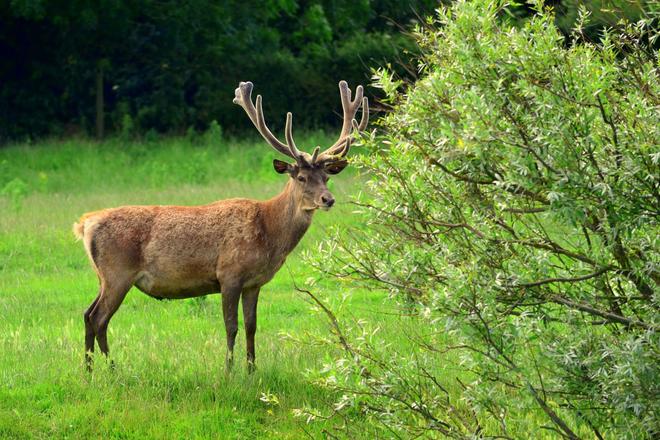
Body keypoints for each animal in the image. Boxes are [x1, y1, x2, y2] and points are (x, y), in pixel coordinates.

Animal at [73, 80, 368, 372]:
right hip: (118, 273)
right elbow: (231, 327)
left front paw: (251, 371)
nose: (328, 199)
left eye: (326, 177)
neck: (269, 232)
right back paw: (111, 369)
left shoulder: (254, 283)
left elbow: (251, 326)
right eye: (302, 177)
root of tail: (85, 224)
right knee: (99, 318)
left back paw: (89, 371)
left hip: (104, 277)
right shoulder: (229, 273)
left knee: (87, 314)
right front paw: (228, 371)